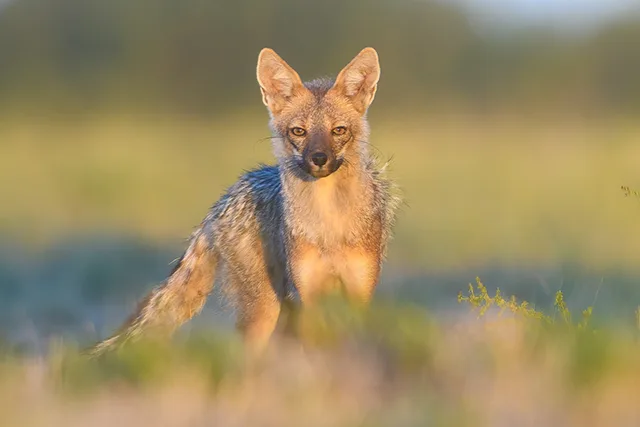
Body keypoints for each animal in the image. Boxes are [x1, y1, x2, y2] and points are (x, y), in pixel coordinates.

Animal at [87, 47, 400, 357]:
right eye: (299, 131)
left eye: (338, 130)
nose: (319, 159)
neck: (329, 226)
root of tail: (224, 198)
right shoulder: (308, 295)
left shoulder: (360, 293)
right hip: (265, 310)